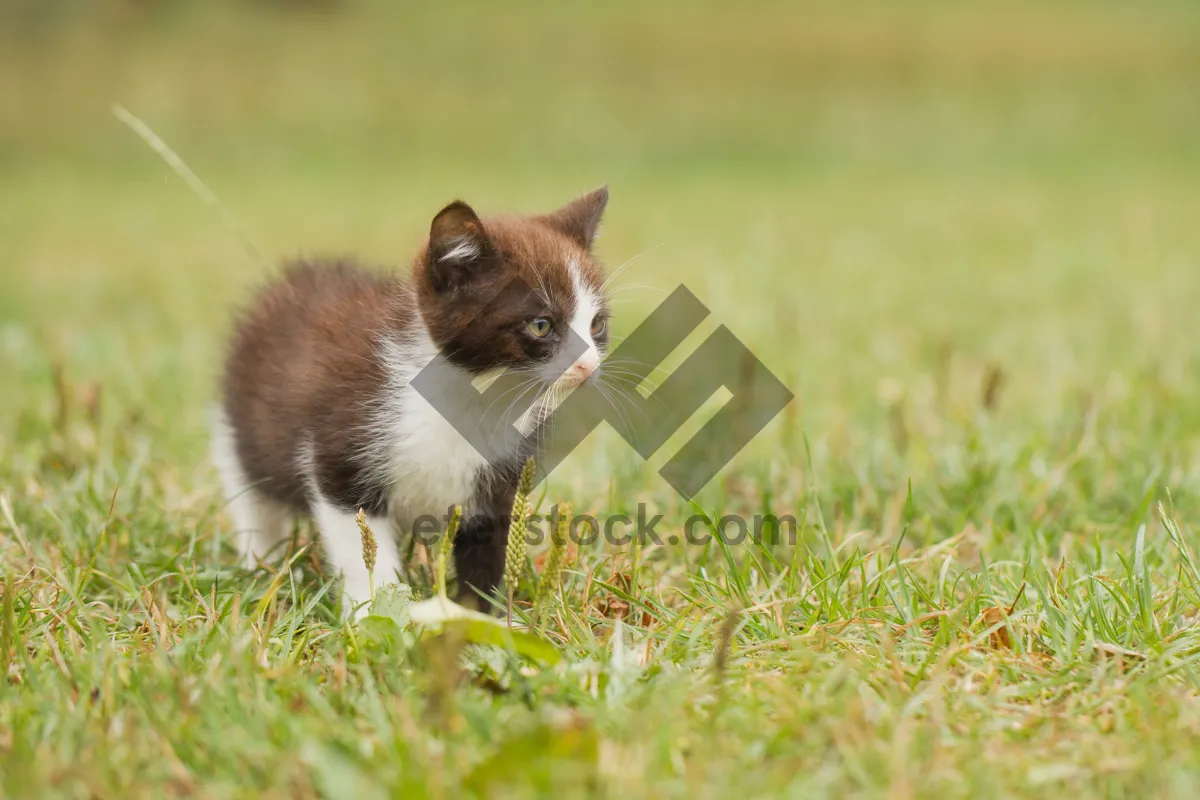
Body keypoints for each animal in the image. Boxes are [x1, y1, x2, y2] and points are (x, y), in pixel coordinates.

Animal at [208, 188, 609, 618]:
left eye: (596, 324)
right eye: (541, 325)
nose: (589, 364)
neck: (471, 400)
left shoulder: (504, 473)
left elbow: (488, 550)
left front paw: (478, 616)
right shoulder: (343, 450)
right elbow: (360, 545)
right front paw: (370, 613)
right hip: (242, 427)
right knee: (252, 495)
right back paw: (262, 564)